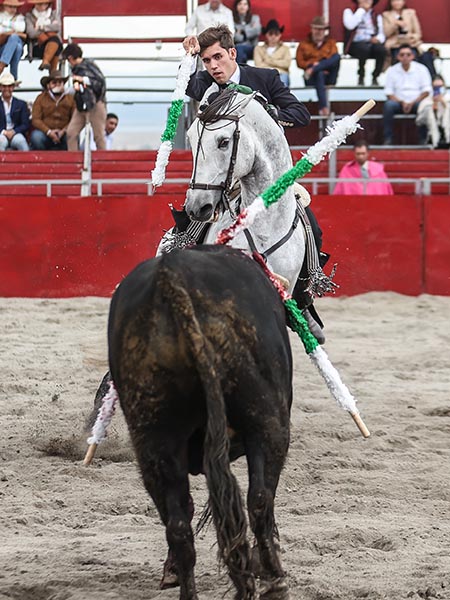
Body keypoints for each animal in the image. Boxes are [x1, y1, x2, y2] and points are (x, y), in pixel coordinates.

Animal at [107, 245, 294, 600]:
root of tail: (172, 278)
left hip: (153, 438)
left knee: (178, 525)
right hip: (268, 422)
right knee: (259, 500)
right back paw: (275, 580)